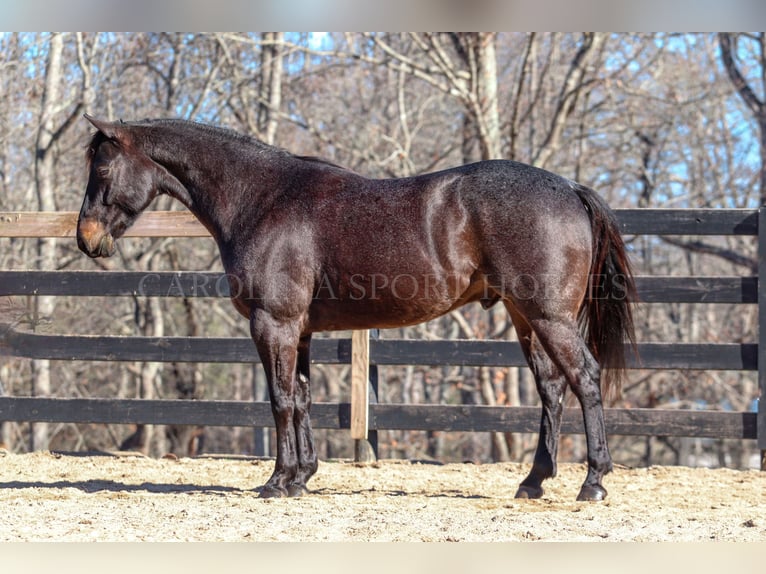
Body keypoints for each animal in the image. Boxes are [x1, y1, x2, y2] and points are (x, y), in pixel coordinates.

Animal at [78, 115, 640, 502]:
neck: (262, 198)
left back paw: (593, 482)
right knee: (551, 388)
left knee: (585, 379)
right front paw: (302, 476)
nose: (87, 239)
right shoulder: (299, 331)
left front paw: (277, 481)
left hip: (549, 317)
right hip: (527, 319)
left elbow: (280, 400)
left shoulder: (274, 324)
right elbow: (302, 398)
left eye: (102, 166)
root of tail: (569, 187)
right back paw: (533, 481)